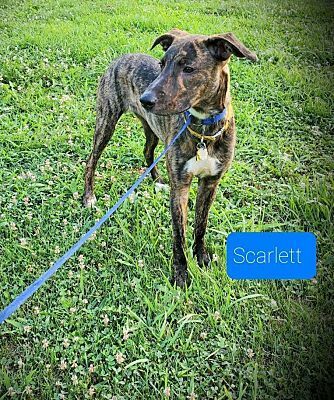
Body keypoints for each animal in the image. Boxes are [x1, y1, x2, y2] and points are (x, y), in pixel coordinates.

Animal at [83, 28, 258, 288]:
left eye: (189, 68)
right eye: (162, 64)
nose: (145, 99)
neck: (204, 128)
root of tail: (122, 57)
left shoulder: (210, 182)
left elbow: (201, 224)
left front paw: (201, 257)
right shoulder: (181, 187)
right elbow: (179, 234)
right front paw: (181, 272)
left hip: (152, 129)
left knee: (147, 152)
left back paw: (157, 181)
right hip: (107, 120)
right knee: (91, 160)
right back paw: (89, 196)